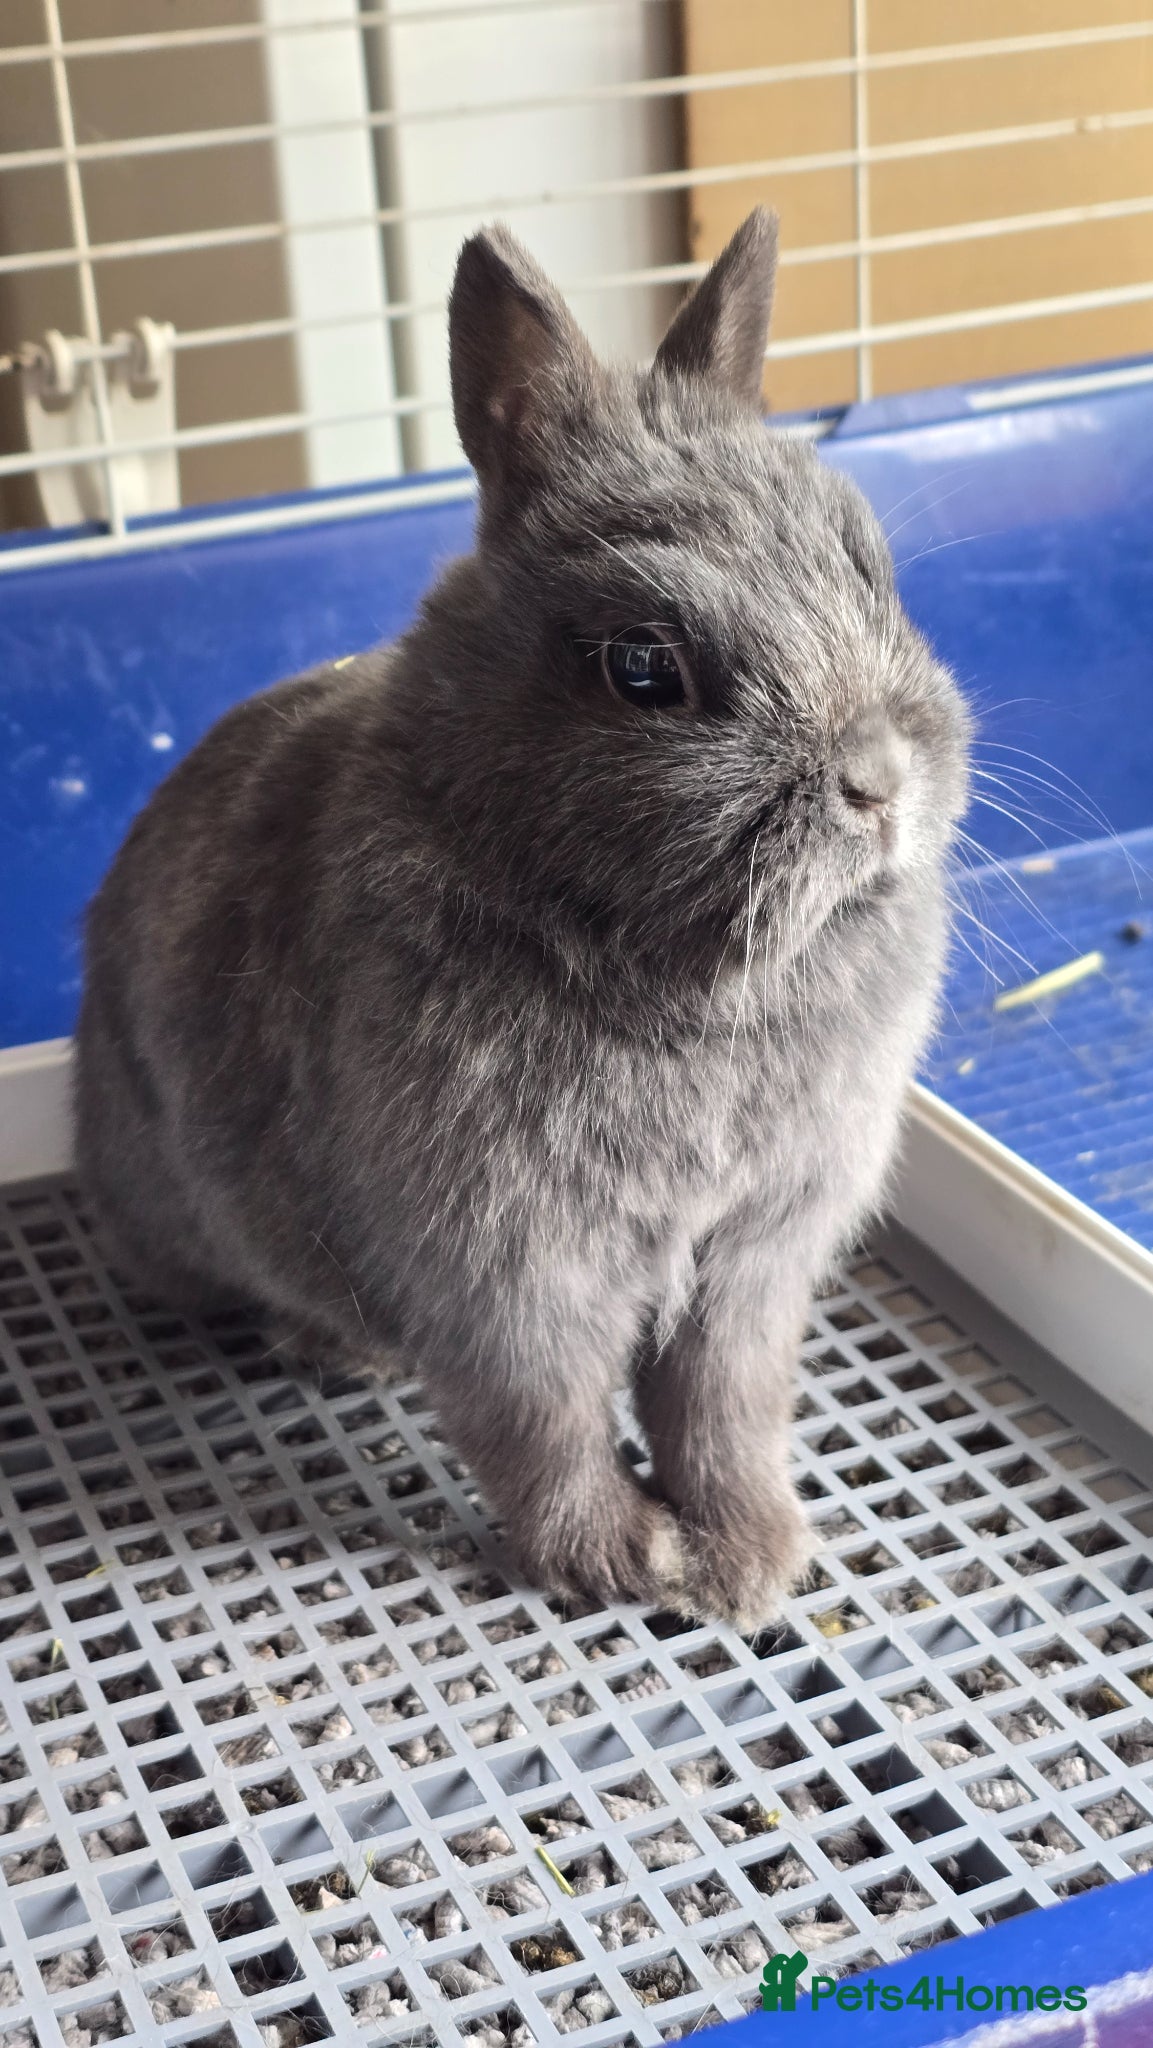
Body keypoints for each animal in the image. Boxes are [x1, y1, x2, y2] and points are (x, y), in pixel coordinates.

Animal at [75, 208, 970, 1629]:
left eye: (865, 565)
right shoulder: (505, 1272)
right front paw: (619, 1559)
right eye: (643, 668)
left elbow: (720, 1406)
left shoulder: (751, 1262)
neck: (691, 974)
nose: (878, 782)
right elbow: (539, 1420)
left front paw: (752, 1559)